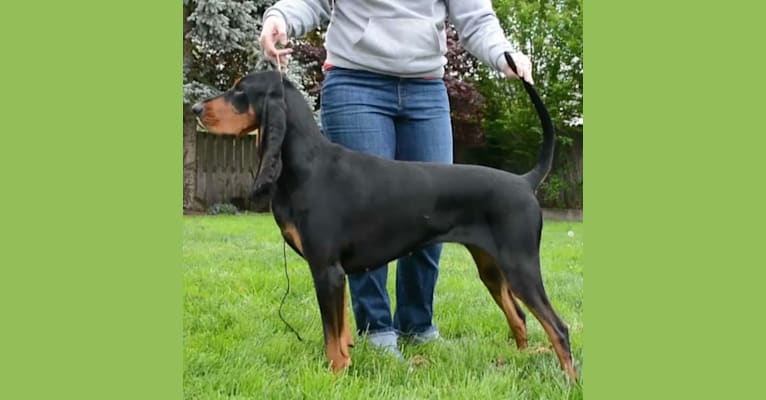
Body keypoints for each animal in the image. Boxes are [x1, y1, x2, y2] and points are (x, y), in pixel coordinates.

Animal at [192, 53, 576, 378]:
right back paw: (519, 360)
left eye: (240, 89)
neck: (307, 165)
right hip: (492, 269)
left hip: (520, 266)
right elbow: (342, 331)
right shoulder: (338, 273)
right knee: (520, 317)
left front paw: (335, 376)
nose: (195, 108)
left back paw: (569, 381)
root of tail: (524, 181)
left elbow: (331, 337)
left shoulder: (326, 270)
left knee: (558, 327)